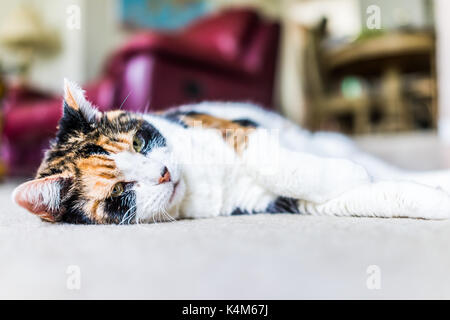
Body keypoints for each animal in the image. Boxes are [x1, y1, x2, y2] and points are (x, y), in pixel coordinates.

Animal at [10, 80, 450, 224]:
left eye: (138, 141)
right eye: (119, 193)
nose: (164, 173)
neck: (199, 187)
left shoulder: (233, 130)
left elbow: (270, 160)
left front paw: (349, 172)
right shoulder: (277, 203)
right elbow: (376, 194)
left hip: (326, 140)